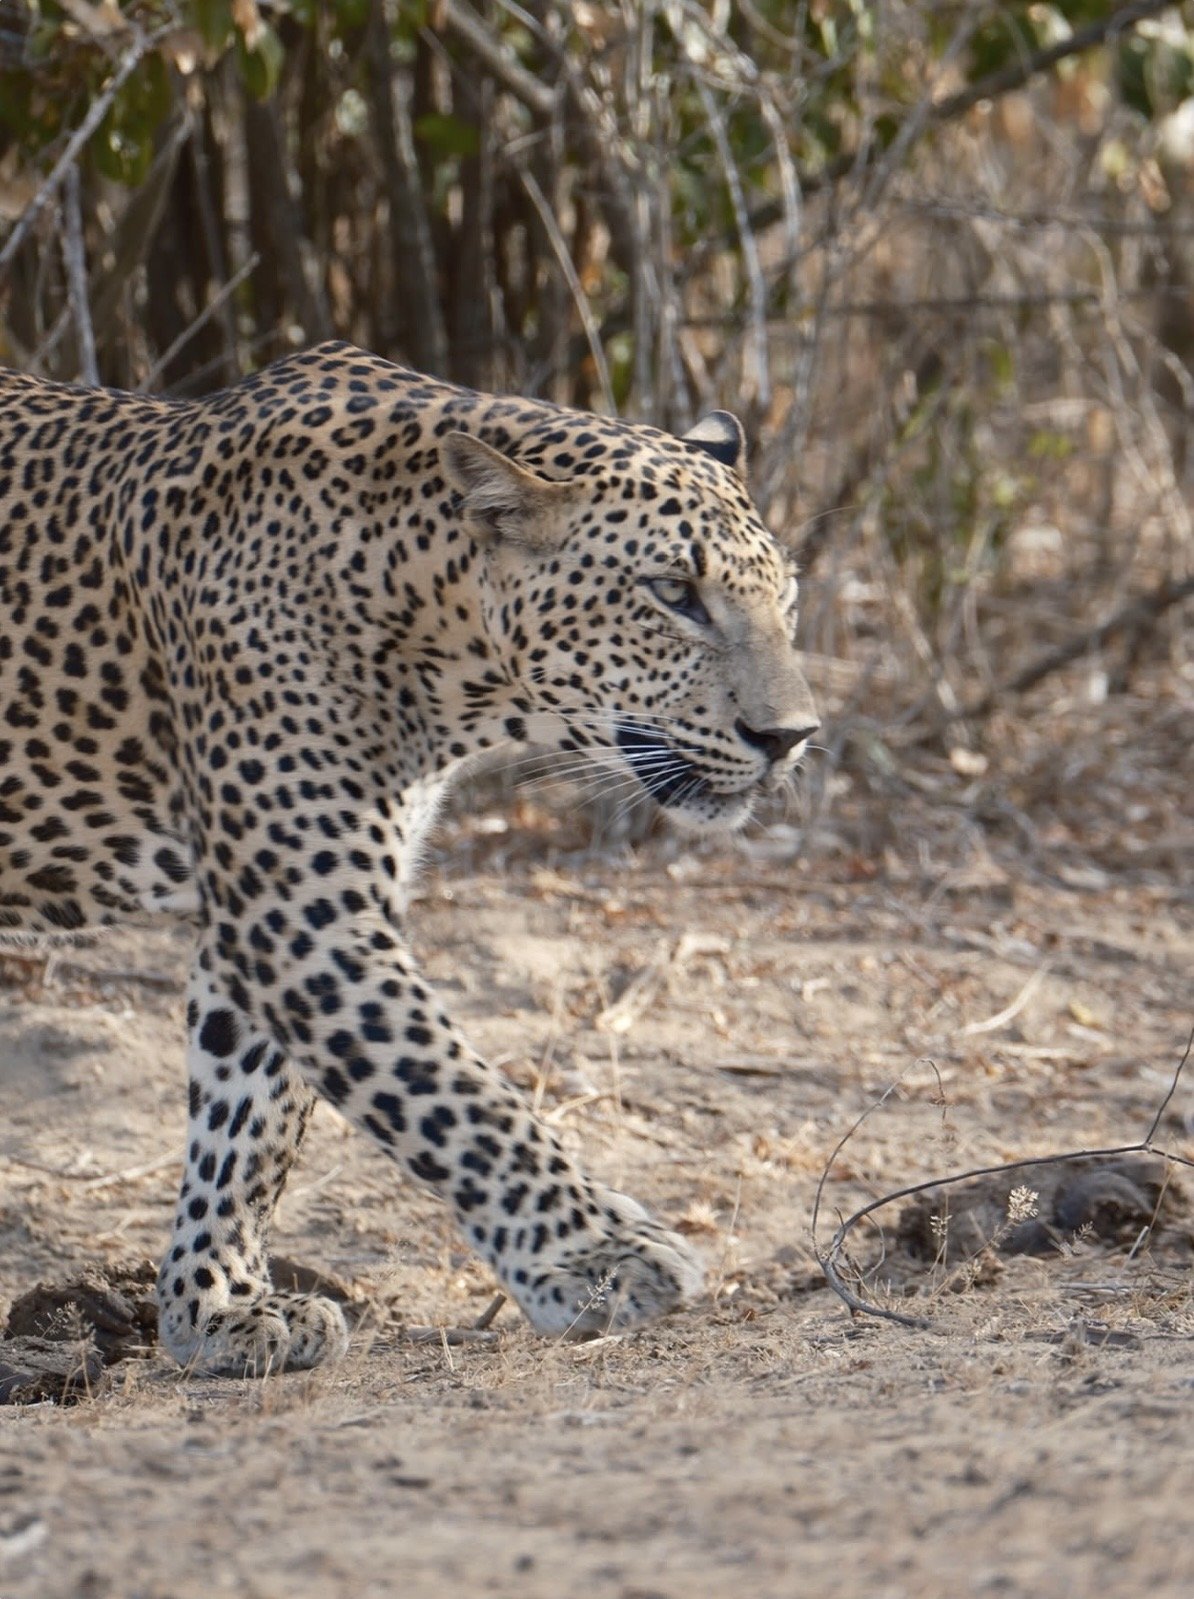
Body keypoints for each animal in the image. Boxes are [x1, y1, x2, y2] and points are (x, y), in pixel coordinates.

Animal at [0, 341, 819, 1375]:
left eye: (785, 601)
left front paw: (216, 1309)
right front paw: (603, 1258)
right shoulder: (301, 912)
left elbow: (247, 1118)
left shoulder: (266, 910)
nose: (790, 736)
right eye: (674, 594)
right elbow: (451, 1090)